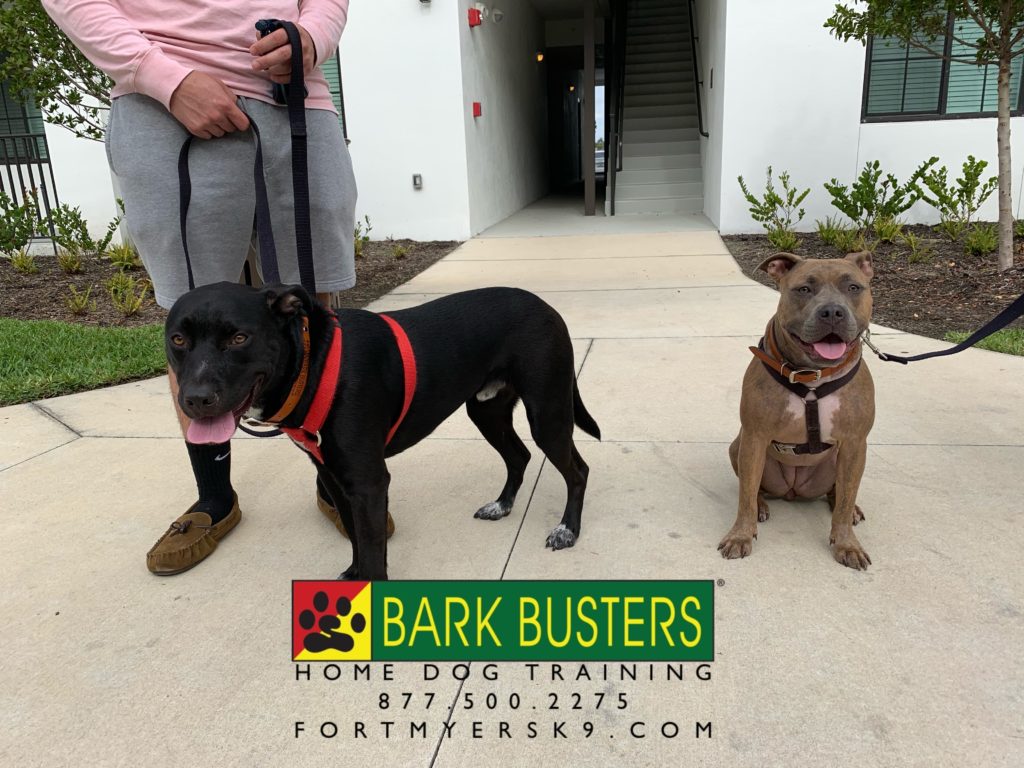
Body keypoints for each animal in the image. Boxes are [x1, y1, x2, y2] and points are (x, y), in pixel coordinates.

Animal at [165, 283, 601, 580]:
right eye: (178, 339)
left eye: (239, 338)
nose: (196, 400)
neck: (313, 363)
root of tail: (545, 305)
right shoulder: (335, 478)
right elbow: (356, 537)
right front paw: (354, 576)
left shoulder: (369, 482)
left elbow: (373, 546)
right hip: (486, 411)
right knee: (519, 456)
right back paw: (503, 505)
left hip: (547, 413)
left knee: (578, 470)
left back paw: (567, 530)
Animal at [719, 251, 875, 570]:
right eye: (804, 289)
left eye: (854, 287)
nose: (832, 312)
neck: (813, 377)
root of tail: (793, 490)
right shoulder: (754, 438)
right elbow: (745, 495)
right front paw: (740, 535)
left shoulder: (855, 443)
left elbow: (845, 500)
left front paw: (847, 543)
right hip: (738, 446)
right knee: (753, 488)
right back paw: (761, 506)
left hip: (841, 459)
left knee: (840, 492)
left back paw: (850, 508)